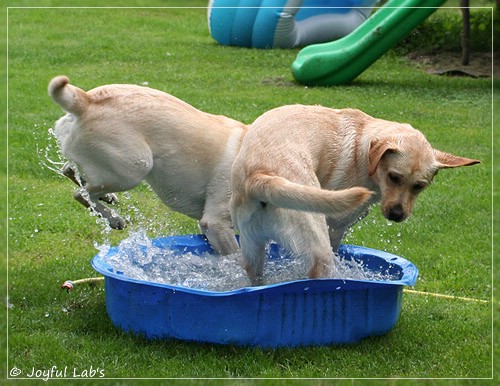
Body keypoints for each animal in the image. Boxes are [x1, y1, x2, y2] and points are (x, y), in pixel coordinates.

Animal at [48, 75, 248, 256]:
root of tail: (86, 99)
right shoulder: (216, 223)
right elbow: (235, 259)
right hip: (133, 170)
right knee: (81, 193)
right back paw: (114, 218)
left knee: (70, 171)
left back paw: (107, 198)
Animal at [231, 104, 480, 284]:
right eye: (394, 177)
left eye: (419, 186)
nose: (397, 215)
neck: (363, 151)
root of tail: (260, 176)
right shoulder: (335, 228)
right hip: (317, 242)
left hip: (253, 248)